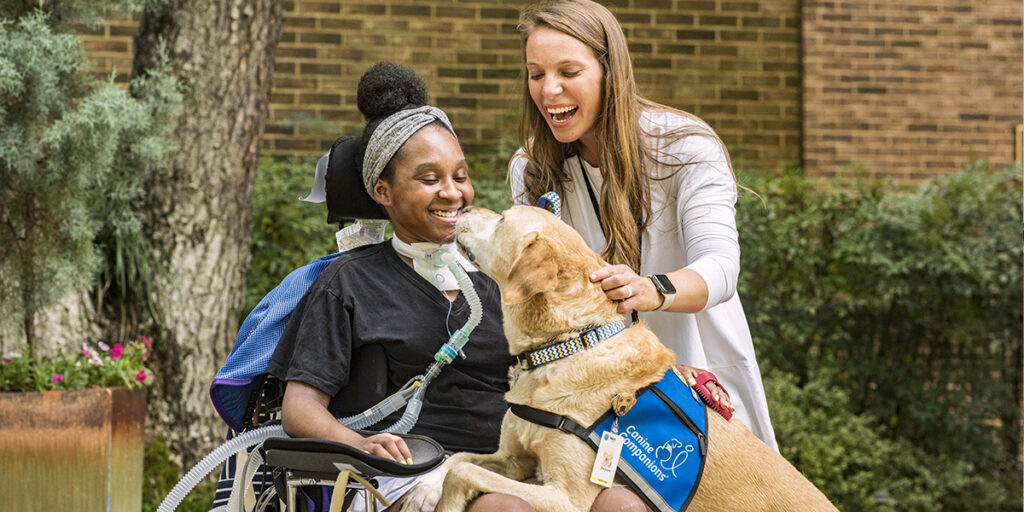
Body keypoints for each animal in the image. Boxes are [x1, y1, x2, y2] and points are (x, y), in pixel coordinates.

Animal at [397, 205, 831, 509]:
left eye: (502, 219)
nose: (465, 208)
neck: (569, 344)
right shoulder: (515, 459)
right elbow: (458, 459)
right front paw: (425, 489)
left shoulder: (564, 498)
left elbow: (464, 472)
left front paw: (446, 500)